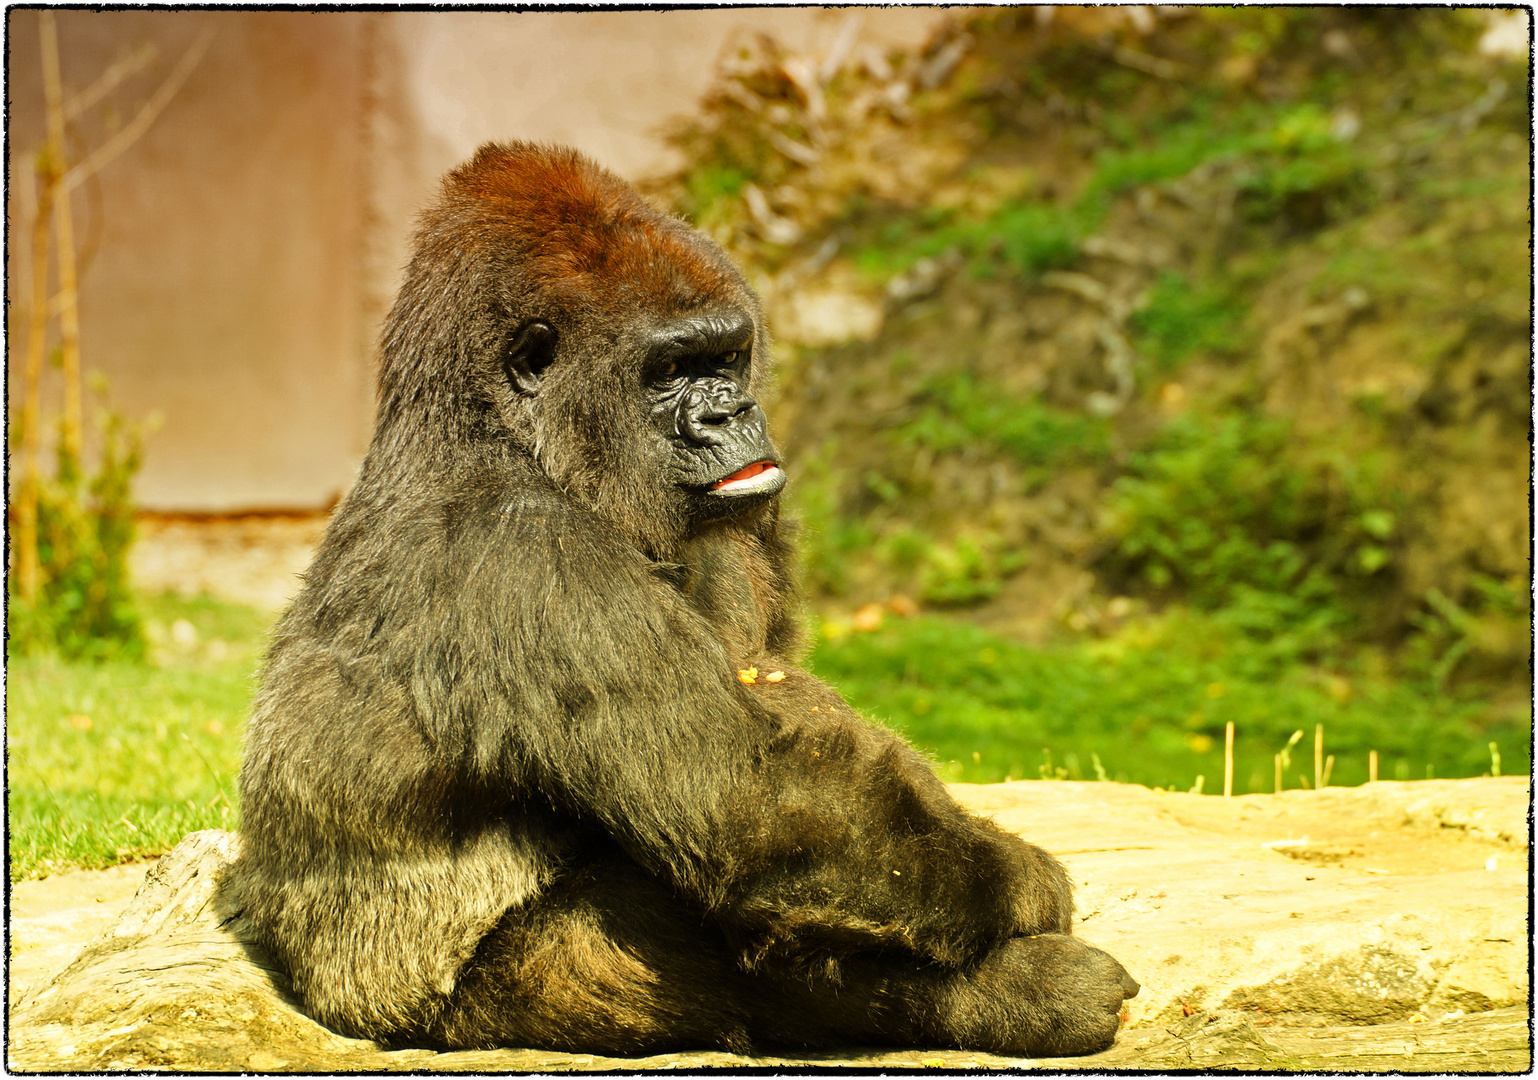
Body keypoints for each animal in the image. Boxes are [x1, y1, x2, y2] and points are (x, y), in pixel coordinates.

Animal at [233, 141, 1138, 1058]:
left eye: (726, 358)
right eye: (670, 372)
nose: (733, 414)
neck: (491, 434)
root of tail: (340, 998)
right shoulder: (526, 553)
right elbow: (747, 801)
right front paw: (1020, 882)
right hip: (492, 1001)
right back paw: (1024, 994)